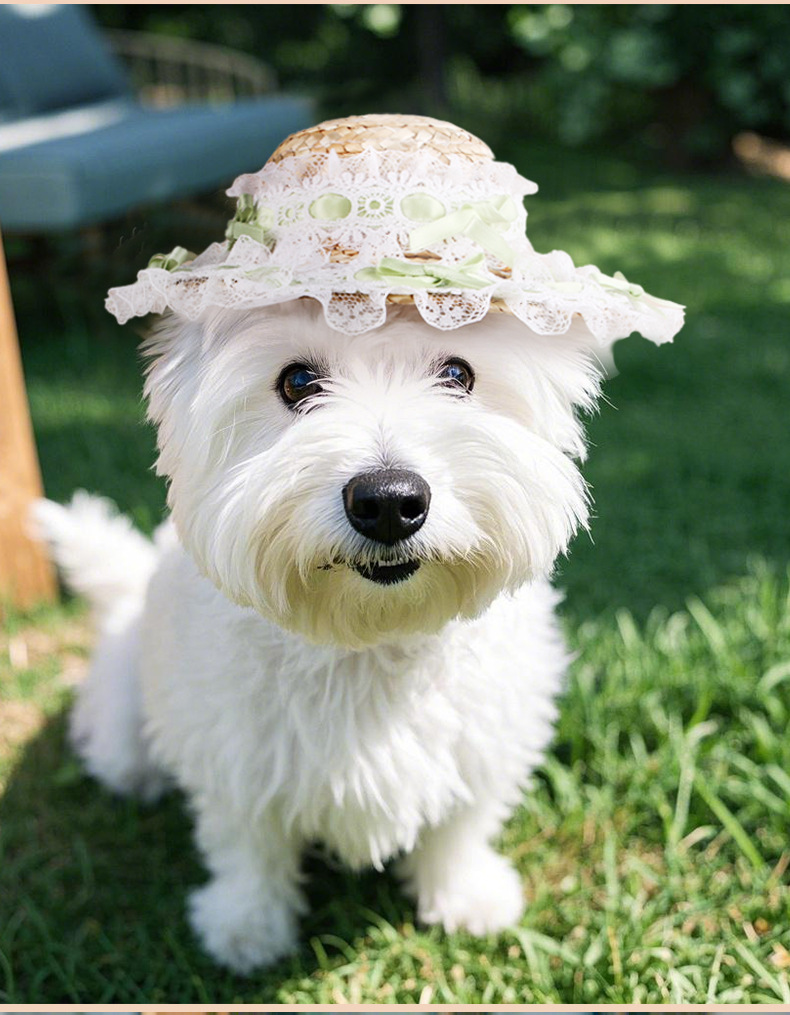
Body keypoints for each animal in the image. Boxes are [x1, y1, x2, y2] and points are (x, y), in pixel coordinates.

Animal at [33, 114, 682, 973]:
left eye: (458, 372)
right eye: (297, 381)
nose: (389, 501)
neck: (371, 645)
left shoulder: (483, 742)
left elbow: (459, 825)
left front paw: (466, 896)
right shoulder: (234, 754)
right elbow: (246, 843)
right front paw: (245, 928)